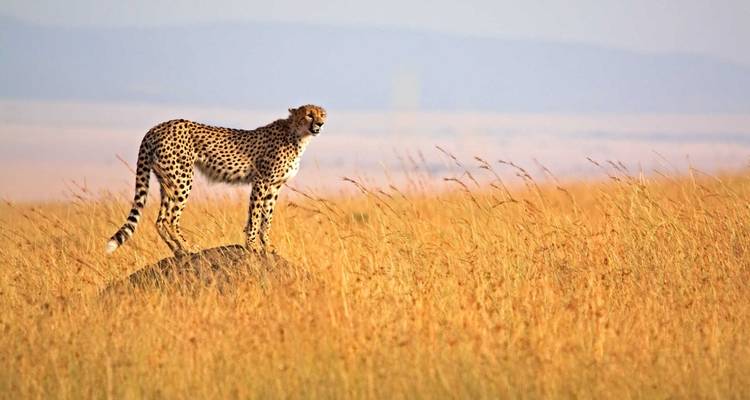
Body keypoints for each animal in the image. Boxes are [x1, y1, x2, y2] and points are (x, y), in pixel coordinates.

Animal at [106, 104, 327, 256]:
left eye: (322, 114)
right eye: (309, 114)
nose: (320, 124)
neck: (297, 135)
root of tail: (157, 127)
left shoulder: (274, 186)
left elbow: (266, 218)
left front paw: (267, 246)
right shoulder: (262, 181)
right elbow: (255, 216)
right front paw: (252, 245)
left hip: (167, 180)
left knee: (160, 220)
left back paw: (177, 251)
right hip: (182, 178)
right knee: (170, 218)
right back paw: (188, 247)